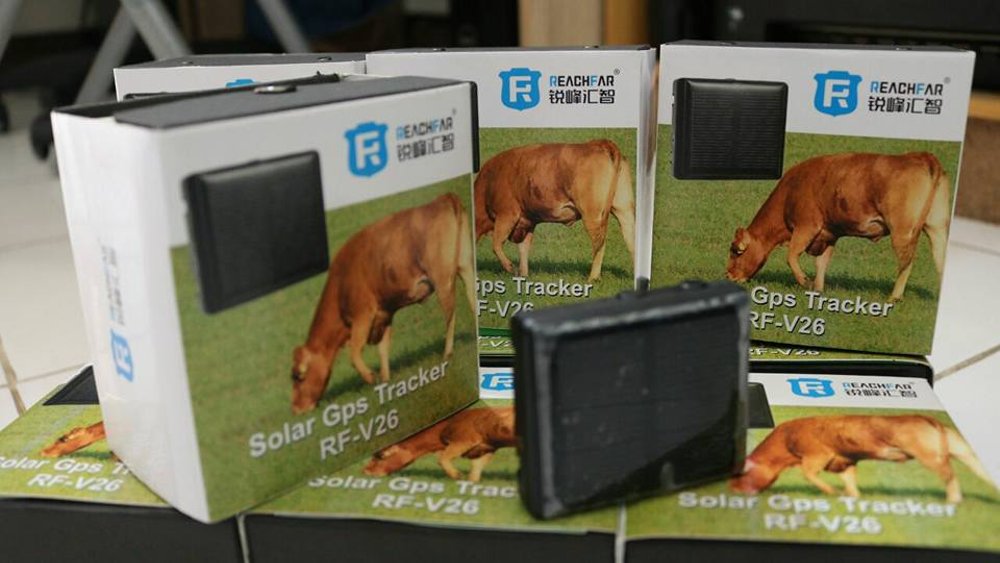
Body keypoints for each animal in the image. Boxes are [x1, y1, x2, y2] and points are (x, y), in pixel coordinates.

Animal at [291, 193, 477, 414]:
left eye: (299, 376)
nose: (296, 409)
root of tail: (442, 199)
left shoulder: (363, 315)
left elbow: (354, 352)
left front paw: (372, 377)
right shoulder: (385, 313)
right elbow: (383, 348)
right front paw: (386, 380)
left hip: (442, 279)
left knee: (450, 314)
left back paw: (447, 352)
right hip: (465, 266)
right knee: (473, 300)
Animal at [364, 406, 515, 482]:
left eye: (380, 456)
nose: (364, 471)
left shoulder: (463, 441)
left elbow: (442, 459)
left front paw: (456, 475)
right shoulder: (485, 450)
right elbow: (475, 472)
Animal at [474, 140, 636, 282]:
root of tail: (599, 143)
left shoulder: (507, 214)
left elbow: (496, 244)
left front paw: (510, 268)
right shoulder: (528, 221)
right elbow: (523, 249)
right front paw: (523, 275)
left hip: (592, 214)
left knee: (599, 244)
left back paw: (592, 278)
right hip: (623, 209)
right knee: (631, 239)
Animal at [726, 152, 951, 302]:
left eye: (737, 251)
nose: (729, 276)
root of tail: (920, 156)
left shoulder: (806, 226)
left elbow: (791, 256)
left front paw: (806, 282)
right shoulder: (830, 234)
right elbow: (821, 263)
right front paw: (817, 289)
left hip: (902, 231)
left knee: (907, 262)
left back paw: (893, 298)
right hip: (937, 228)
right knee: (941, 260)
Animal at [730, 415, 993, 503]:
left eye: (741, 475)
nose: (733, 491)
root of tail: (927, 418)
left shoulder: (817, 455)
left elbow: (809, 474)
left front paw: (833, 493)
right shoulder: (844, 463)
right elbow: (850, 483)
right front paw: (851, 497)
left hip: (930, 456)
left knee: (950, 475)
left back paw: (953, 501)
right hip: (960, 449)